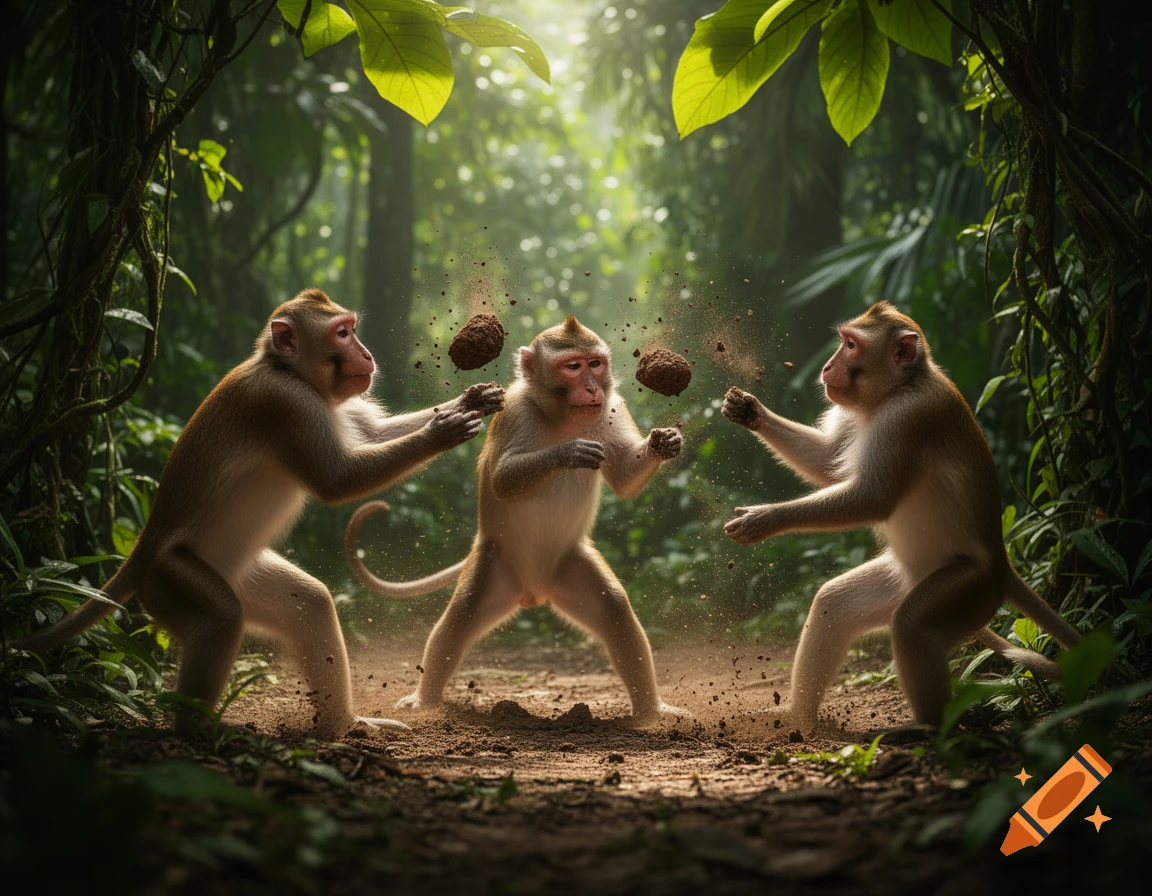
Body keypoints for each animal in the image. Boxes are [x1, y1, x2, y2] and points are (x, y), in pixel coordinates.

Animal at [9, 288, 505, 737]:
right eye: (342, 333)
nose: (366, 354)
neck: (287, 371)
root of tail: (144, 548)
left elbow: (373, 434)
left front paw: (472, 401)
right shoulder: (284, 404)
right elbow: (337, 480)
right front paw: (442, 432)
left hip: (236, 569)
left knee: (309, 604)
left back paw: (345, 724)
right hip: (171, 578)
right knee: (222, 618)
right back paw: (196, 730)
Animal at [345, 315, 686, 723]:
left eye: (595, 363)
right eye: (573, 366)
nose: (591, 387)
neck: (560, 415)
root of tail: (533, 590)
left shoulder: (611, 408)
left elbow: (623, 479)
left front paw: (662, 443)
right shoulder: (514, 409)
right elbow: (503, 480)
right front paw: (568, 452)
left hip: (567, 564)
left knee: (614, 608)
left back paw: (652, 711)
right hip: (496, 562)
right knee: (464, 612)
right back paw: (425, 700)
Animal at [721, 301, 1082, 732]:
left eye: (851, 346)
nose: (826, 367)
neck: (900, 387)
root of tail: (1001, 562)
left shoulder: (907, 418)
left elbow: (872, 498)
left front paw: (763, 520)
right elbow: (827, 460)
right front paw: (748, 410)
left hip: (968, 589)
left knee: (910, 626)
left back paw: (929, 726)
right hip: (906, 577)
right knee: (834, 605)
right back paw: (796, 717)